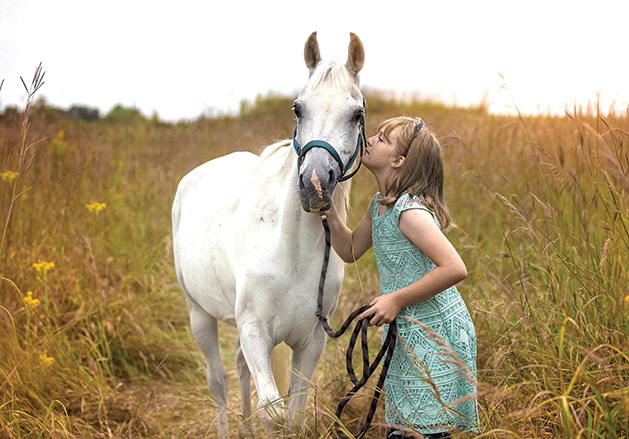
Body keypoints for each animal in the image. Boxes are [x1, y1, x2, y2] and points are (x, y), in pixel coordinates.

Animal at [172, 32, 366, 438]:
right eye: (298, 109)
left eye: (357, 114)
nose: (314, 183)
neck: (290, 250)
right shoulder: (255, 332)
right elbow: (272, 412)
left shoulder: (311, 341)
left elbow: (293, 414)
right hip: (199, 314)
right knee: (218, 380)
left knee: (239, 369)